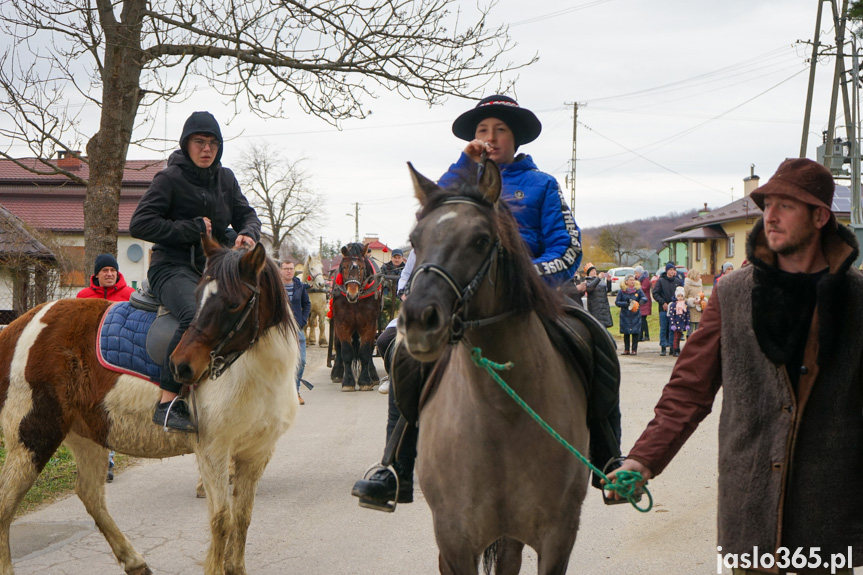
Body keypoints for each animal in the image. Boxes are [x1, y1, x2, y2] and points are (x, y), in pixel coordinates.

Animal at [0, 236, 300, 572]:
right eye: (197, 297)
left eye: (234, 303)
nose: (181, 366)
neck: (252, 373)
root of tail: (17, 327)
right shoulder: (213, 450)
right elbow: (221, 520)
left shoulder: (256, 453)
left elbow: (242, 518)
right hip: (32, 436)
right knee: (5, 507)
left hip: (86, 434)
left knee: (90, 494)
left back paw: (134, 561)